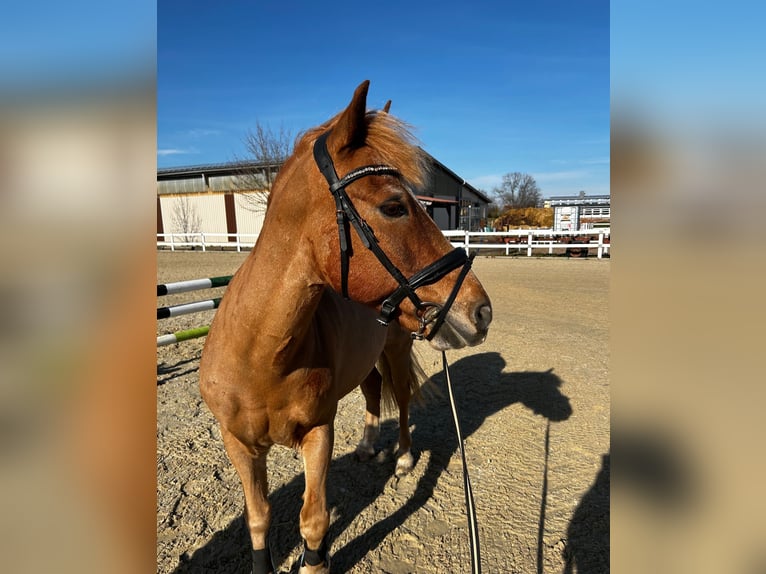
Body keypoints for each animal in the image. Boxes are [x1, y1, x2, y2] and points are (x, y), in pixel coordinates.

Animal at [200, 82, 492, 574]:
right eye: (394, 206)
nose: (481, 312)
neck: (260, 354)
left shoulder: (319, 434)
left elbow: (313, 519)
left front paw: (314, 562)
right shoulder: (238, 444)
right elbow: (258, 518)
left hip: (396, 350)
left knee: (402, 398)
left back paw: (402, 457)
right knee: (374, 389)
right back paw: (369, 446)